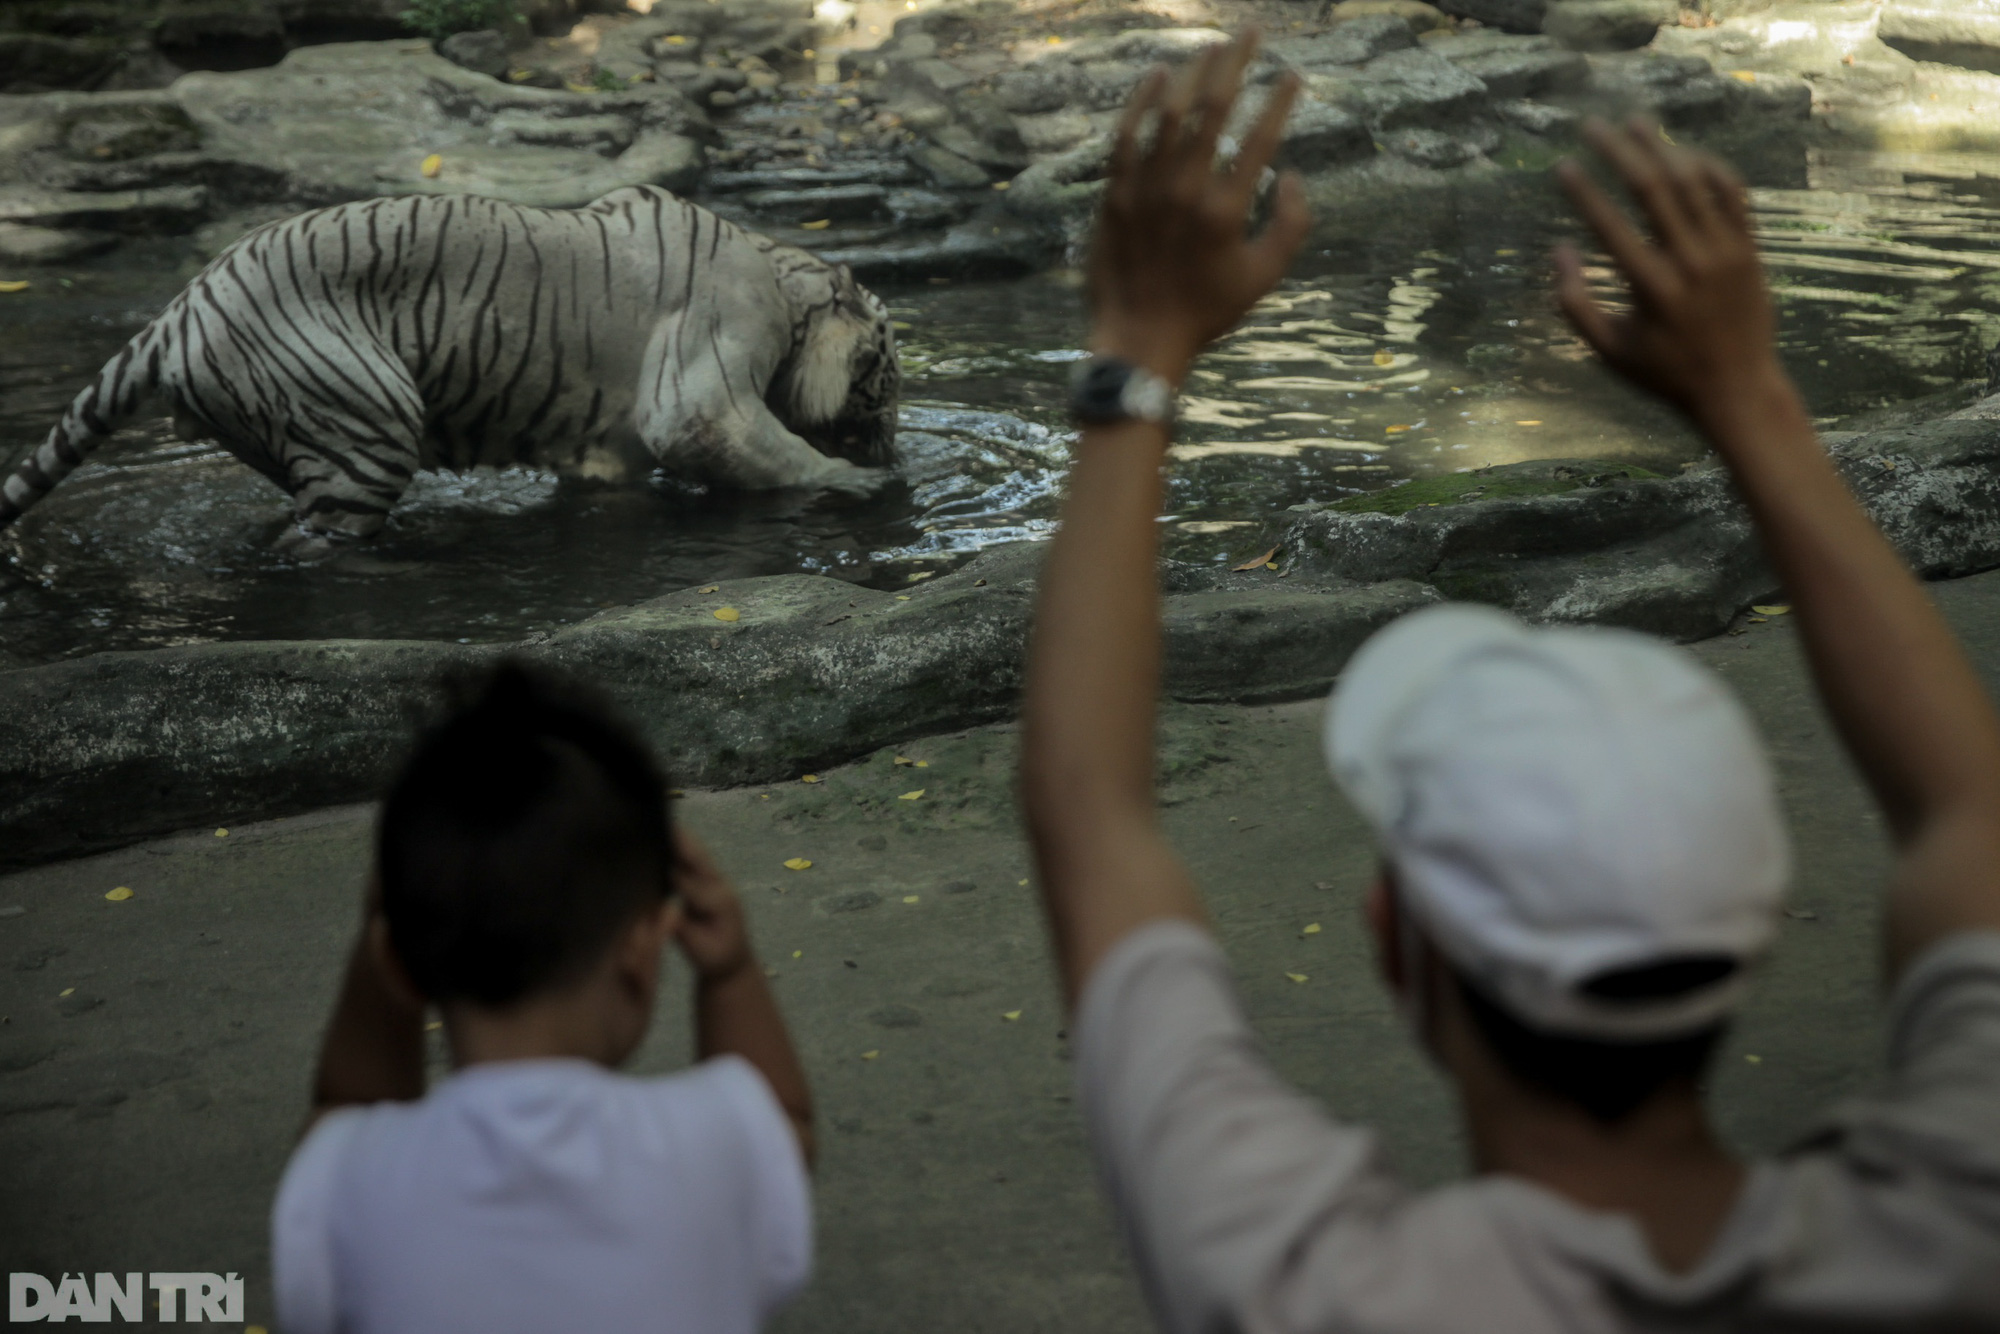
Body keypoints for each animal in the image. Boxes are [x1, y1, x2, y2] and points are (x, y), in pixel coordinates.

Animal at [0, 185, 900, 544]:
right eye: (885, 384)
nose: (895, 447)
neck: (787, 282)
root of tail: (179, 310)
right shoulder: (701, 397)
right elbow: (772, 451)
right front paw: (860, 485)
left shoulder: (609, 451)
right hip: (367, 423)